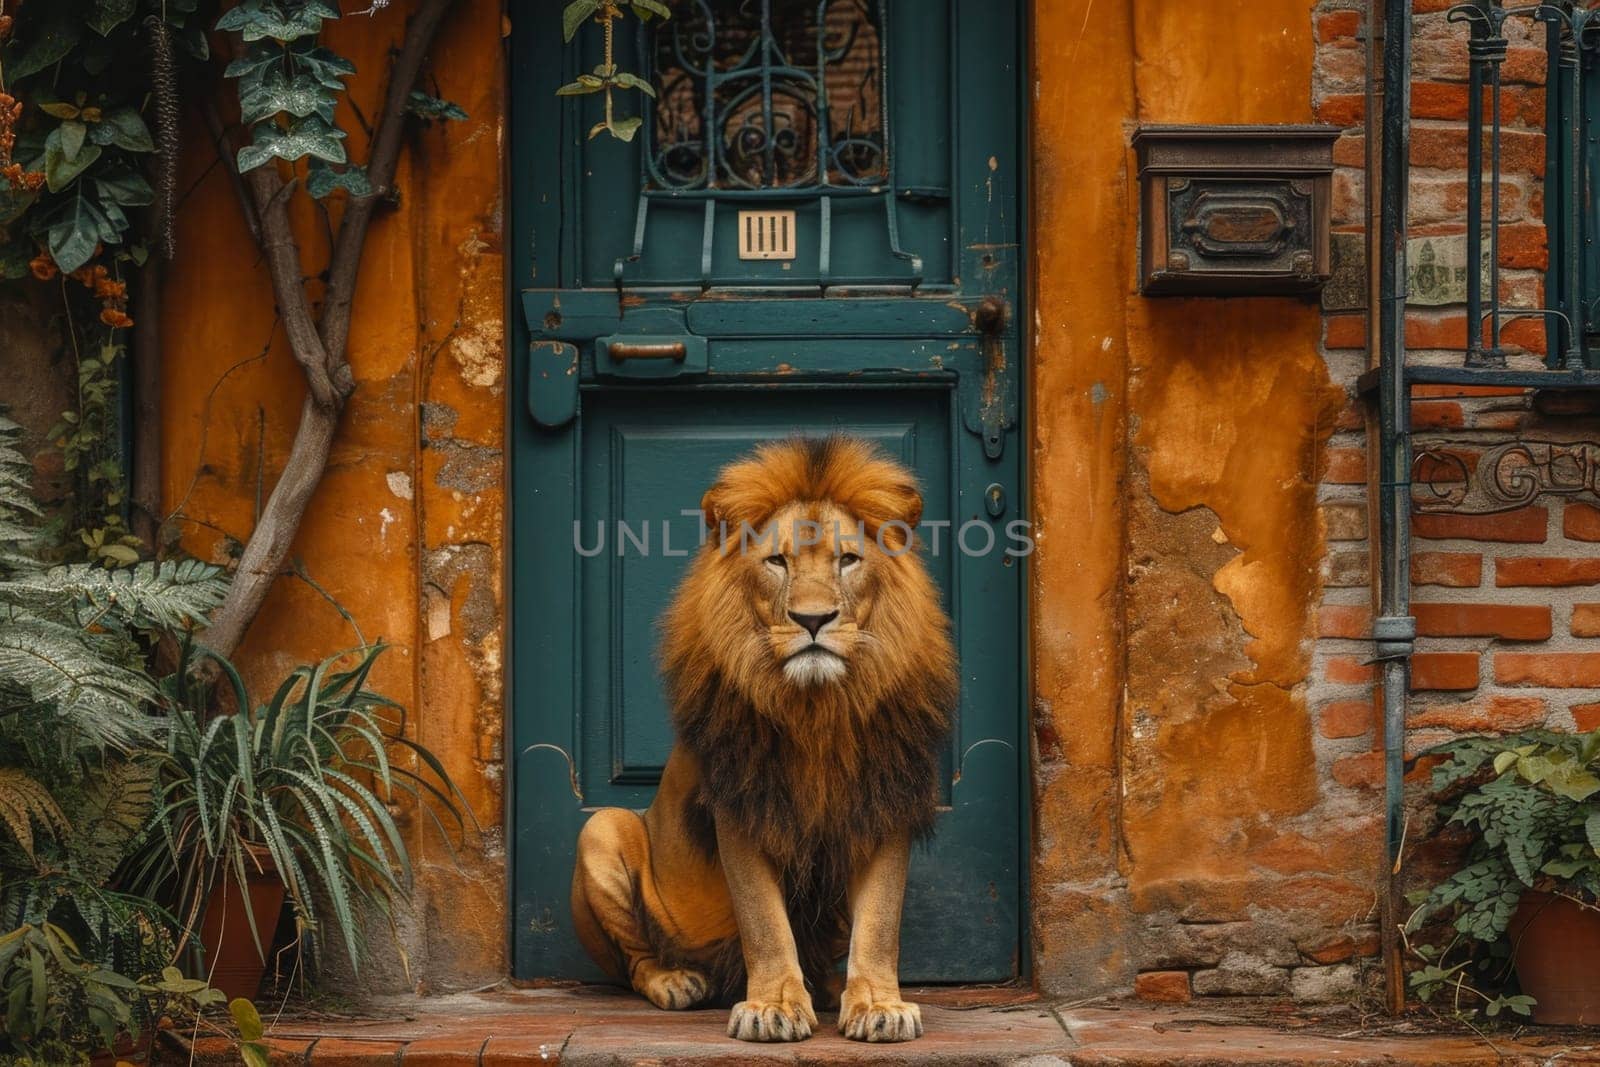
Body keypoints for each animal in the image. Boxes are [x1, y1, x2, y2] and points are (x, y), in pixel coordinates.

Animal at [569, 435, 953, 1043]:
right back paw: (677, 981)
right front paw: (772, 1005)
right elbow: (764, 921)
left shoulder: (885, 800)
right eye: (777, 562)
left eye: (848, 560)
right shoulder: (742, 806)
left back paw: (828, 987)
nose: (813, 619)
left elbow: (880, 922)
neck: (818, 709)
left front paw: (879, 1005)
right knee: (633, 964)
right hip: (603, 828)